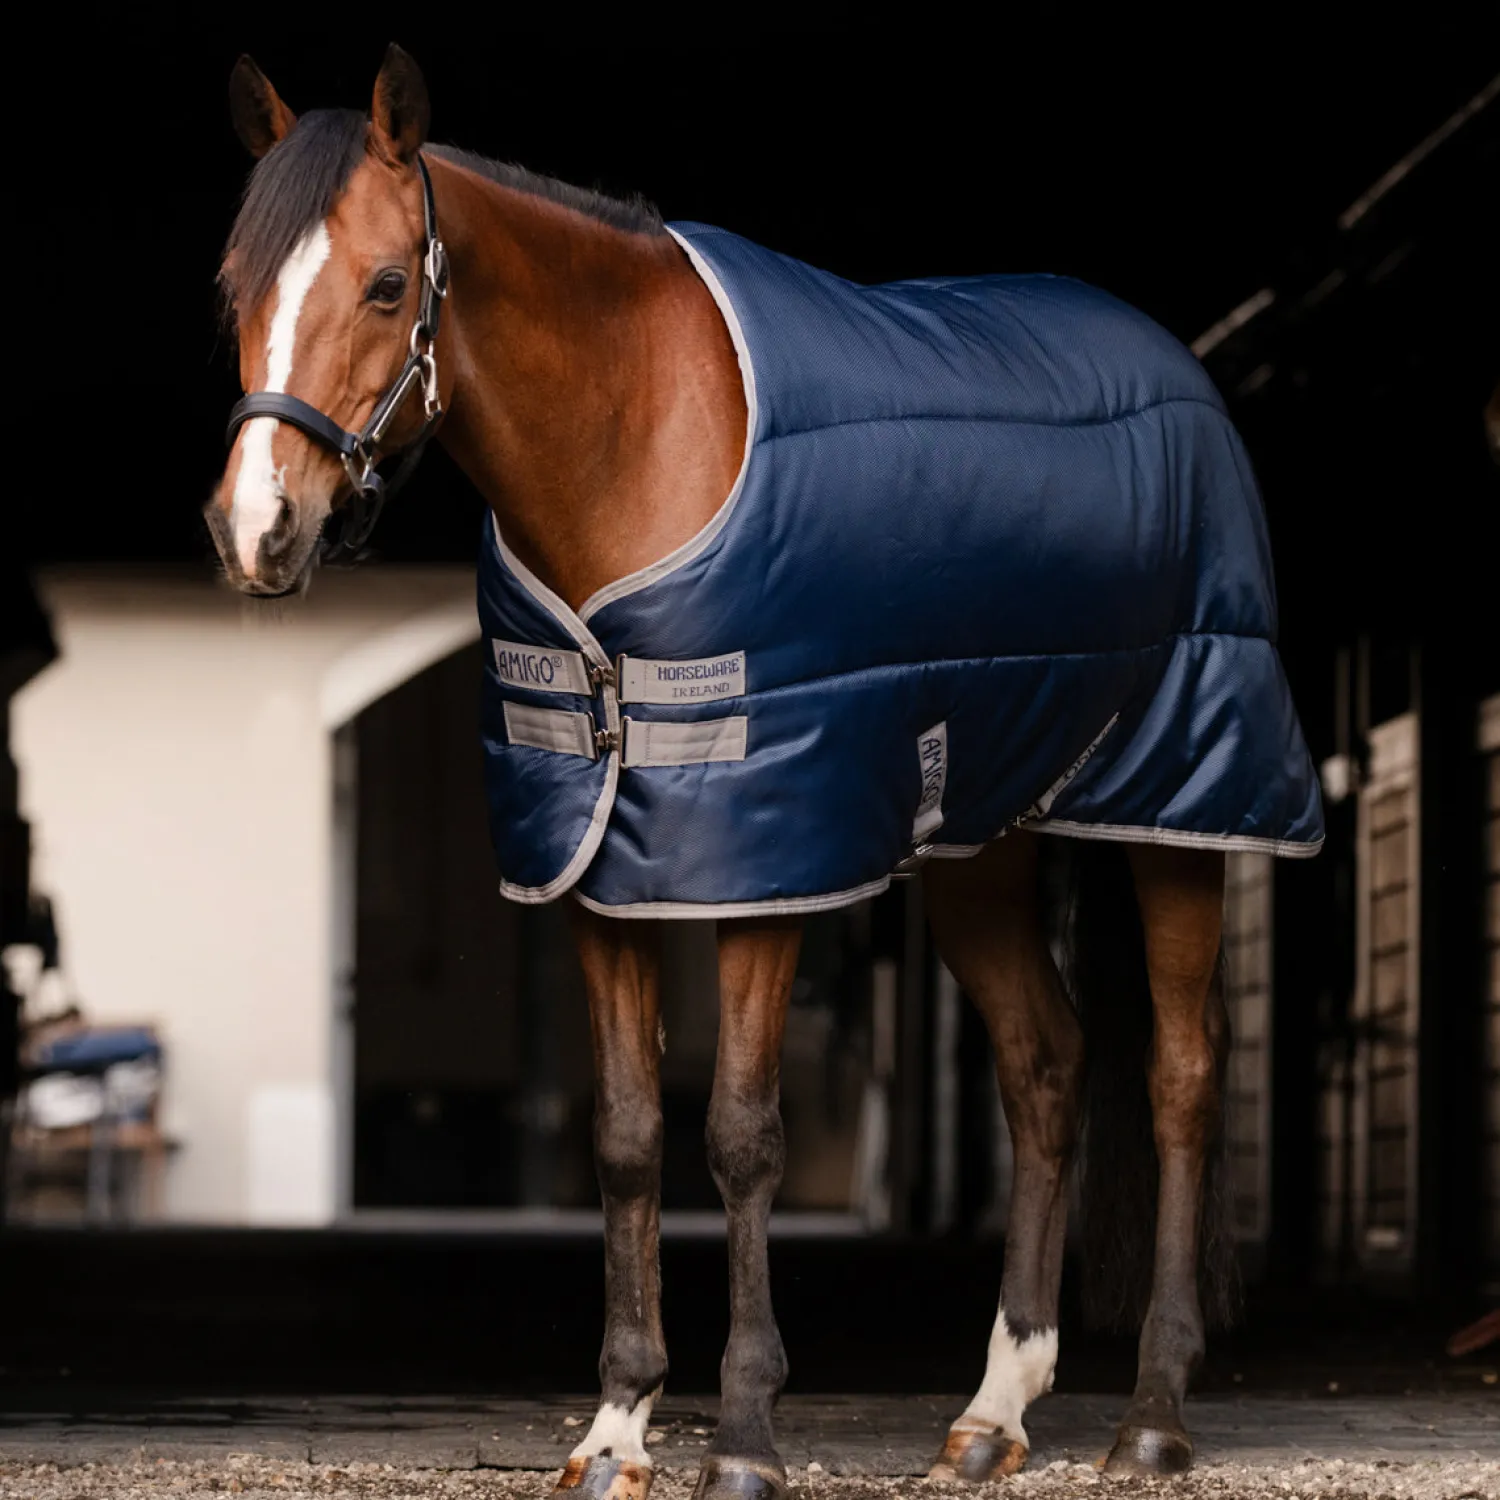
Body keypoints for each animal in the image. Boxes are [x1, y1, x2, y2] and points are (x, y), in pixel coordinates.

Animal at [206, 45, 1323, 1491]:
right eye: (232, 284)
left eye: (389, 284)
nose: (256, 530)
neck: (636, 445)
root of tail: (1175, 363)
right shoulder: (595, 863)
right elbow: (629, 1140)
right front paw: (617, 1427)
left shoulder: (767, 861)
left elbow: (740, 1137)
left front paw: (741, 1436)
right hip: (984, 844)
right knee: (1046, 1066)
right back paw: (995, 1408)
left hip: (1181, 807)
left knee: (1181, 1075)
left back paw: (1152, 1415)